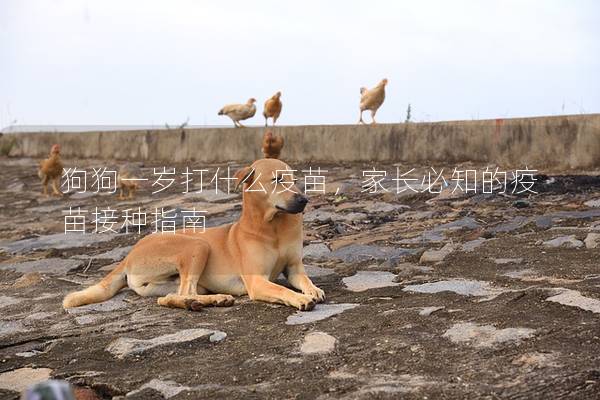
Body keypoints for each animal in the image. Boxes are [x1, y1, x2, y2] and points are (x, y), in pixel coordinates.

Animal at [63, 158, 326, 310]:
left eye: (294, 179)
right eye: (278, 179)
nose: (304, 200)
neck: (273, 227)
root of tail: (129, 254)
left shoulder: (293, 268)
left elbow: (304, 280)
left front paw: (312, 290)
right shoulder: (256, 281)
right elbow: (282, 290)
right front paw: (300, 299)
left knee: (169, 297)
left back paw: (203, 300)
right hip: (197, 245)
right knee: (183, 292)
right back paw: (207, 300)